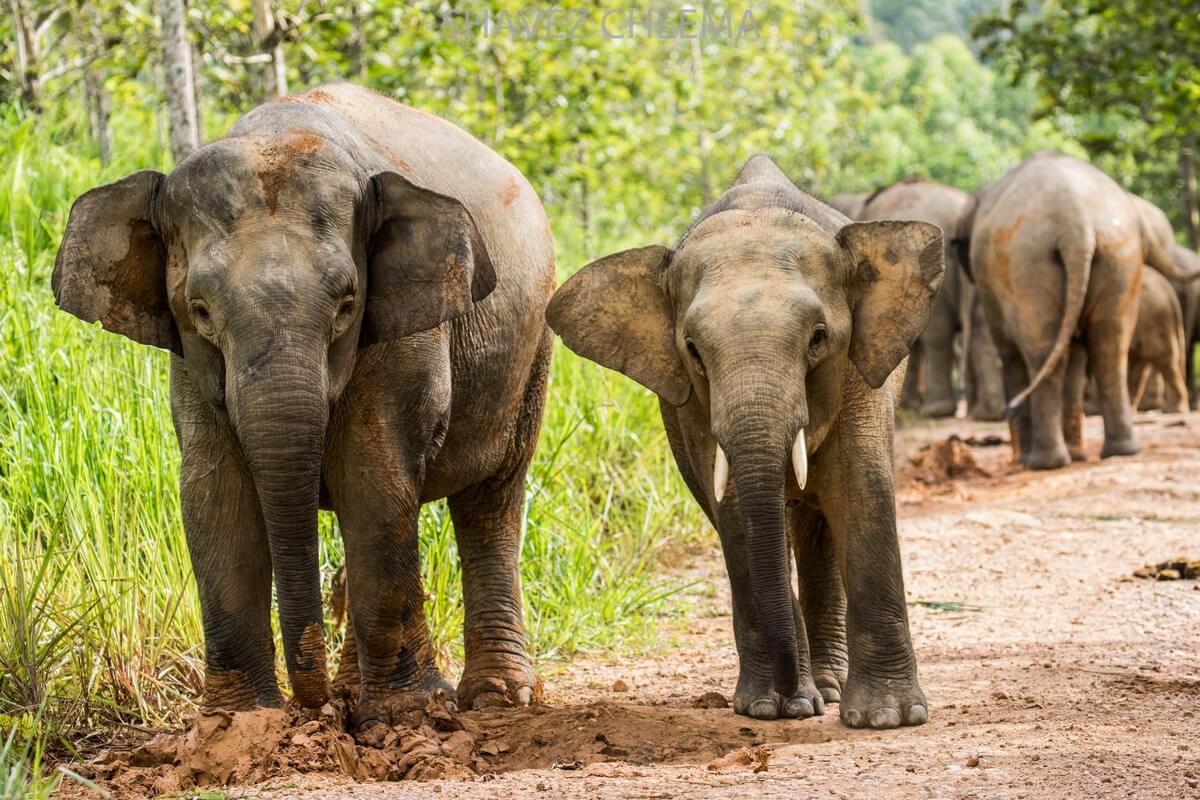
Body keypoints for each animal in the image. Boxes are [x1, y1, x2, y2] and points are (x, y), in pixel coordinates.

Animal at [52, 83, 554, 725]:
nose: (312, 707)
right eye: (201, 310)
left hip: (532, 350)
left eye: (346, 305)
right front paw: (239, 722)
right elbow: (215, 494)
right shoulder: (189, 363)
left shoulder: (403, 334)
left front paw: (407, 715)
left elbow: (374, 477)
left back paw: (495, 697)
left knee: (490, 500)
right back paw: (355, 691)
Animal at [547, 155, 942, 729]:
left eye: (819, 338)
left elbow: (861, 487)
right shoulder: (691, 400)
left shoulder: (860, 372)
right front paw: (772, 707)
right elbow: (734, 508)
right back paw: (818, 688)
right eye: (693, 348)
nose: (794, 700)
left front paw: (889, 718)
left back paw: (830, 689)